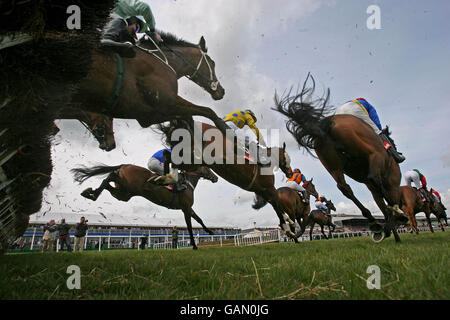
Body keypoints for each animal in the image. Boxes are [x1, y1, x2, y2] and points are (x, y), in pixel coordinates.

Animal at [70, 164, 218, 249]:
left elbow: (199, 219)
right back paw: (92, 193)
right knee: (110, 176)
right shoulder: (185, 208)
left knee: (108, 181)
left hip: (124, 193)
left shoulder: (187, 208)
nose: (216, 178)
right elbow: (190, 226)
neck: (187, 182)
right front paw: (194, 244)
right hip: (127, 187)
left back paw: (90, 193)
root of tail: (126, 165)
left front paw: (210, 231)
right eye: (208, 168)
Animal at [156, 120, 298, 238]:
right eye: (287, 158)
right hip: (194, 157)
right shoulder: (269, 188)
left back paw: (165, 178)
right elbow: (277, 205)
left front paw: (289, 222)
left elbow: (276, 206)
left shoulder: (262, 190)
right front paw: (288, 228)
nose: (290, 173)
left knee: (167, 155)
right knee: (169, 157)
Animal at [274, 75, 404, 244]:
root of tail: (324, 126)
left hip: (333, 166)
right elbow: (389, 201)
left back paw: (374, 222)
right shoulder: (392, 183)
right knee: (372, 178)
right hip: (374, 156)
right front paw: (396, 220)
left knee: (345, 188)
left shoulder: (373, 188)